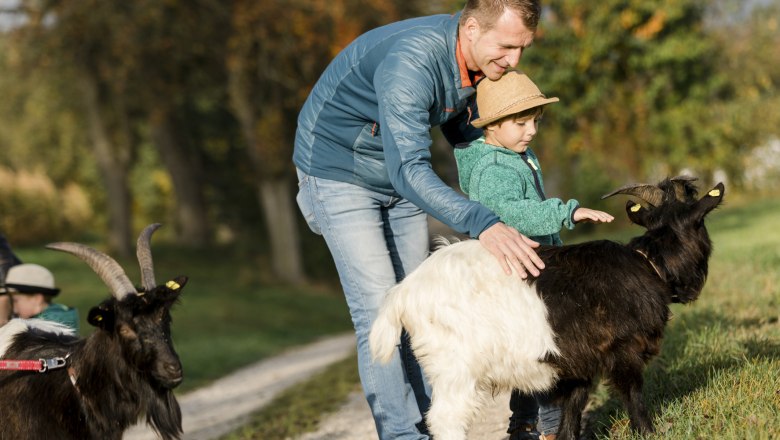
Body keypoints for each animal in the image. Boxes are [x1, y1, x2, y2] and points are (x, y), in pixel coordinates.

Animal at [372, 176, 724, 440]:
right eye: (700, 222)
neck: (648, 264)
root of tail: (403, 292)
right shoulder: (624, 349)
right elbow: (634, 395)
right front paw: (648, 432)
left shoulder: (579, 362)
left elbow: (572, 408)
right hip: (454, 366)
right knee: (446, 420)